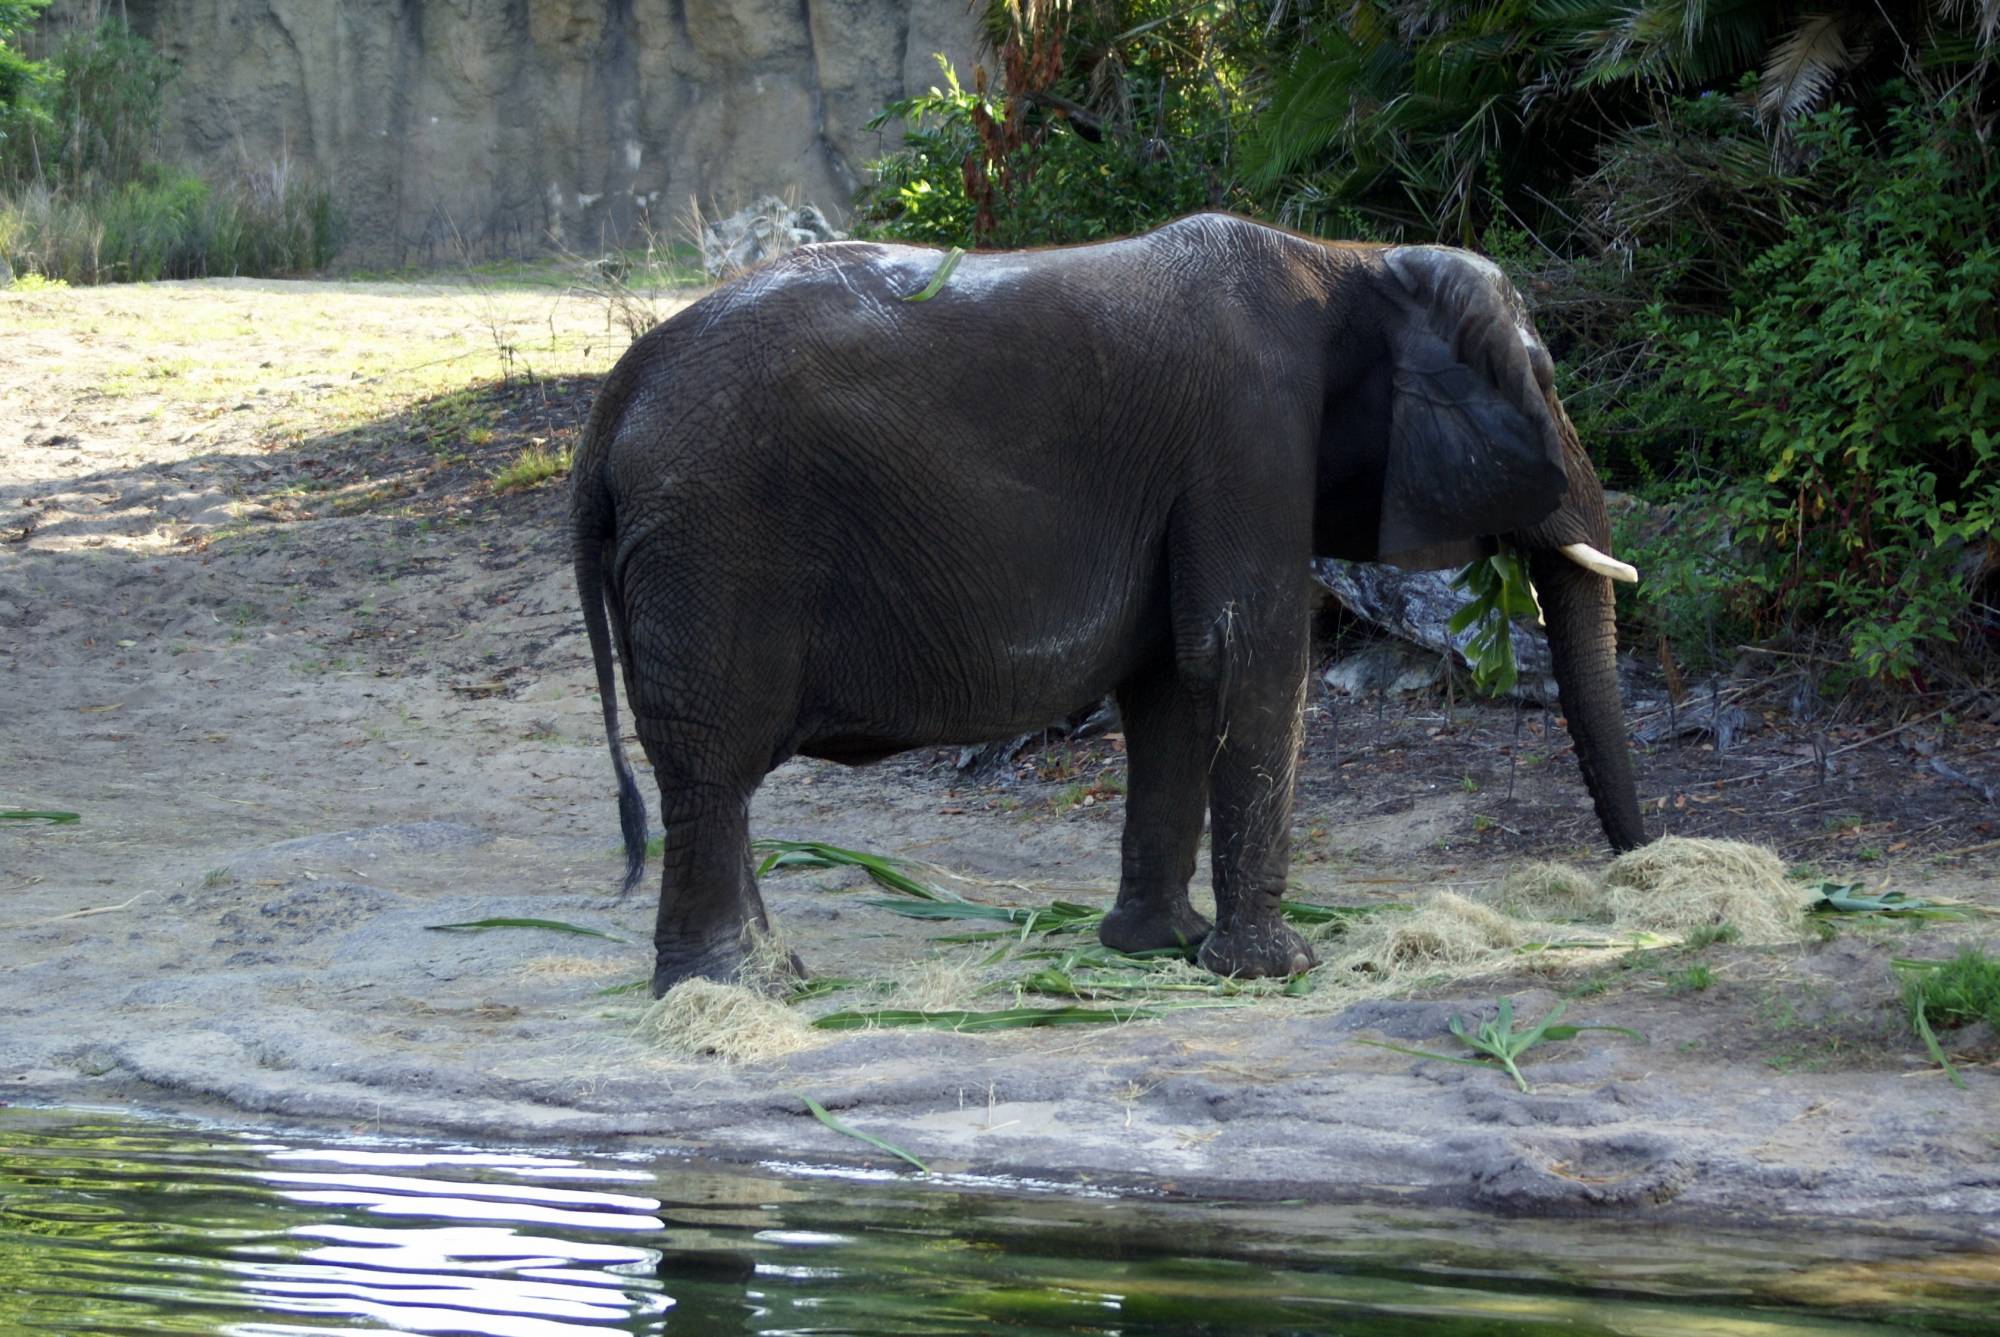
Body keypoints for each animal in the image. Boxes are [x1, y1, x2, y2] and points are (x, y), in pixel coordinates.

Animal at [572, 214, 1648, 996]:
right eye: (1545, 379)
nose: (1640, 874)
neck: (1346, 257)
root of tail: (613, 398)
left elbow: (1173, 682)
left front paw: (1158, 948)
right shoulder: (1249, 431)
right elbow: (1247, 655)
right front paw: (1275, 971)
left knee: (709, 776)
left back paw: (769, 979)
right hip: (715, 540)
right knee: (713, 766)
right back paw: (734, 993)